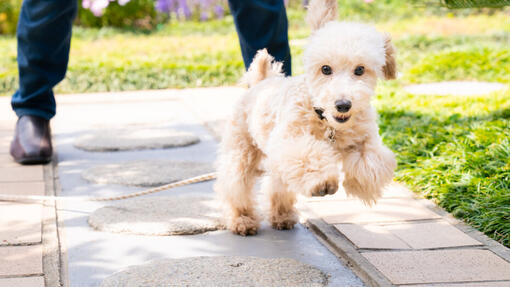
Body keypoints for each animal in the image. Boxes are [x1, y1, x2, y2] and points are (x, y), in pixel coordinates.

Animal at [215, 0, 398, 236]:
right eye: (325, 69)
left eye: (360, 70)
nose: (343, 105)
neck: (327, 122)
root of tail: (260, 82)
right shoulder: (291, 141)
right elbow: (308, 157)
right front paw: (324, 182)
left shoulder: (364, 138)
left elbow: (371, 161)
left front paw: (361, 185)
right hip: (241, 150)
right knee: (236, 184)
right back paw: (242, 220)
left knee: (277, 185)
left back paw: (282, 215)